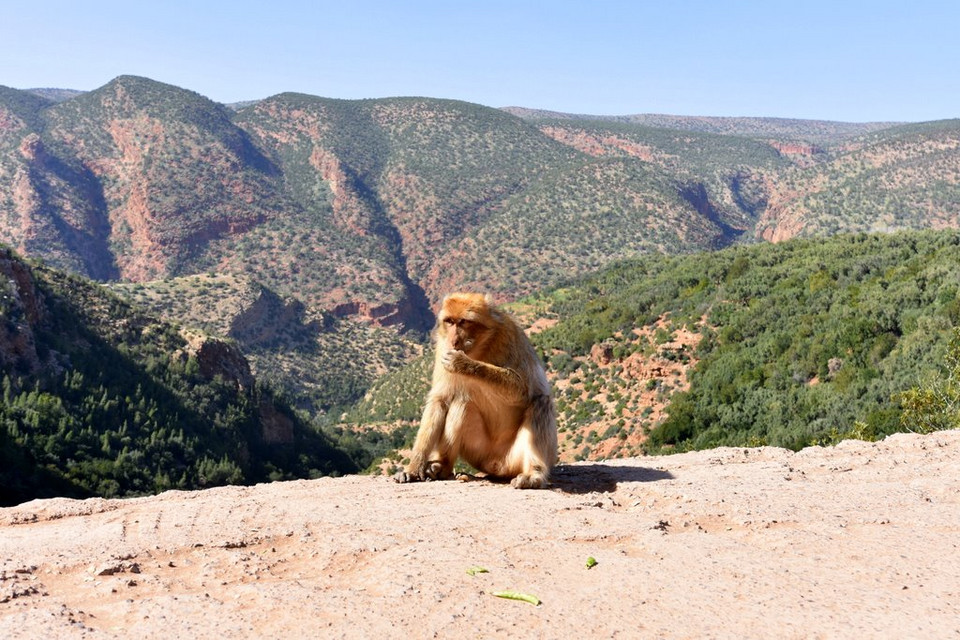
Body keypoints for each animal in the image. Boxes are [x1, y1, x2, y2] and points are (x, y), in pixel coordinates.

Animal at [394, 292, 560, 488]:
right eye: (449, 321)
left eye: (464, 322)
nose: (454, 340)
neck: (478, 347)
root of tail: (497, 465)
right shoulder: (443, 348)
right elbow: (440, 400)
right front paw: (413, 468)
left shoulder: (509, 337)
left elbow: (523, 391)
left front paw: (463, 364)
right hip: (478, 454)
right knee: (462, 404)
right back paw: (442, 466)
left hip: (515, 458)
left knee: (541, 402)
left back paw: (534, 474)